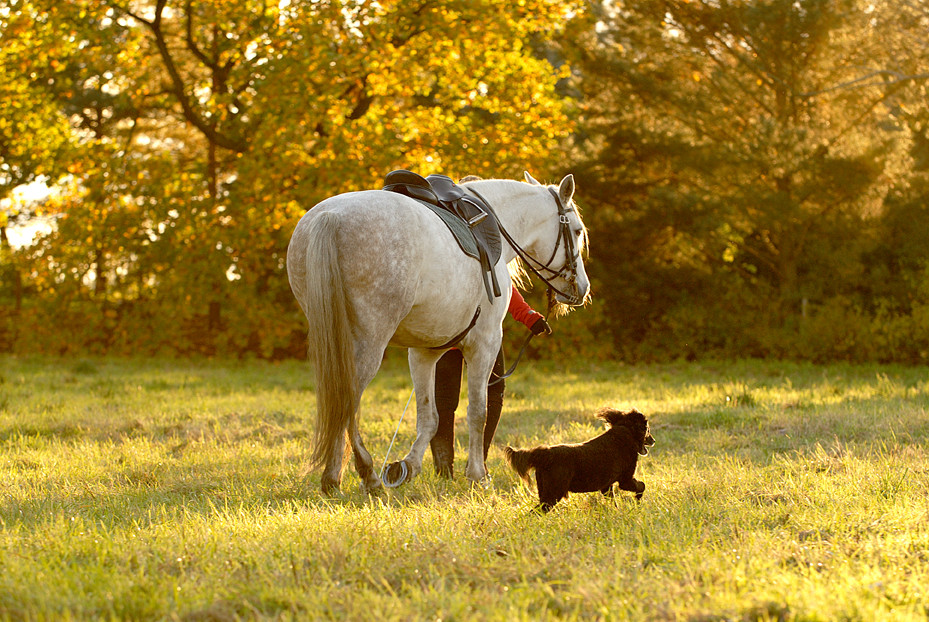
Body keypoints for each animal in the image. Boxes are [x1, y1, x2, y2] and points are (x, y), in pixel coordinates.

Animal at [284, 173, 588, 494]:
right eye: (577, 231)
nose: (582, 287)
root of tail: (330, 217)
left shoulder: (425, 353)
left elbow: (429, 417)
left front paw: (409, 466)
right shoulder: (485, 345)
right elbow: (478, 412)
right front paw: (478, 474)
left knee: (337, 405)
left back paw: (335, 479)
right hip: (367, 346)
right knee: (347, 404)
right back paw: (365, 474)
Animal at [504, 408, 656, 516]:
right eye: (647, 429)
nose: (654, 440)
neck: (625, 432)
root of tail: (544, 453)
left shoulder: (606, 486)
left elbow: (614, 502)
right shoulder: (625, 479)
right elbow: (642, 486)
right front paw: (638, 502)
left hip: (545, 492)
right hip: (553, 493)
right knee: (535, 513)